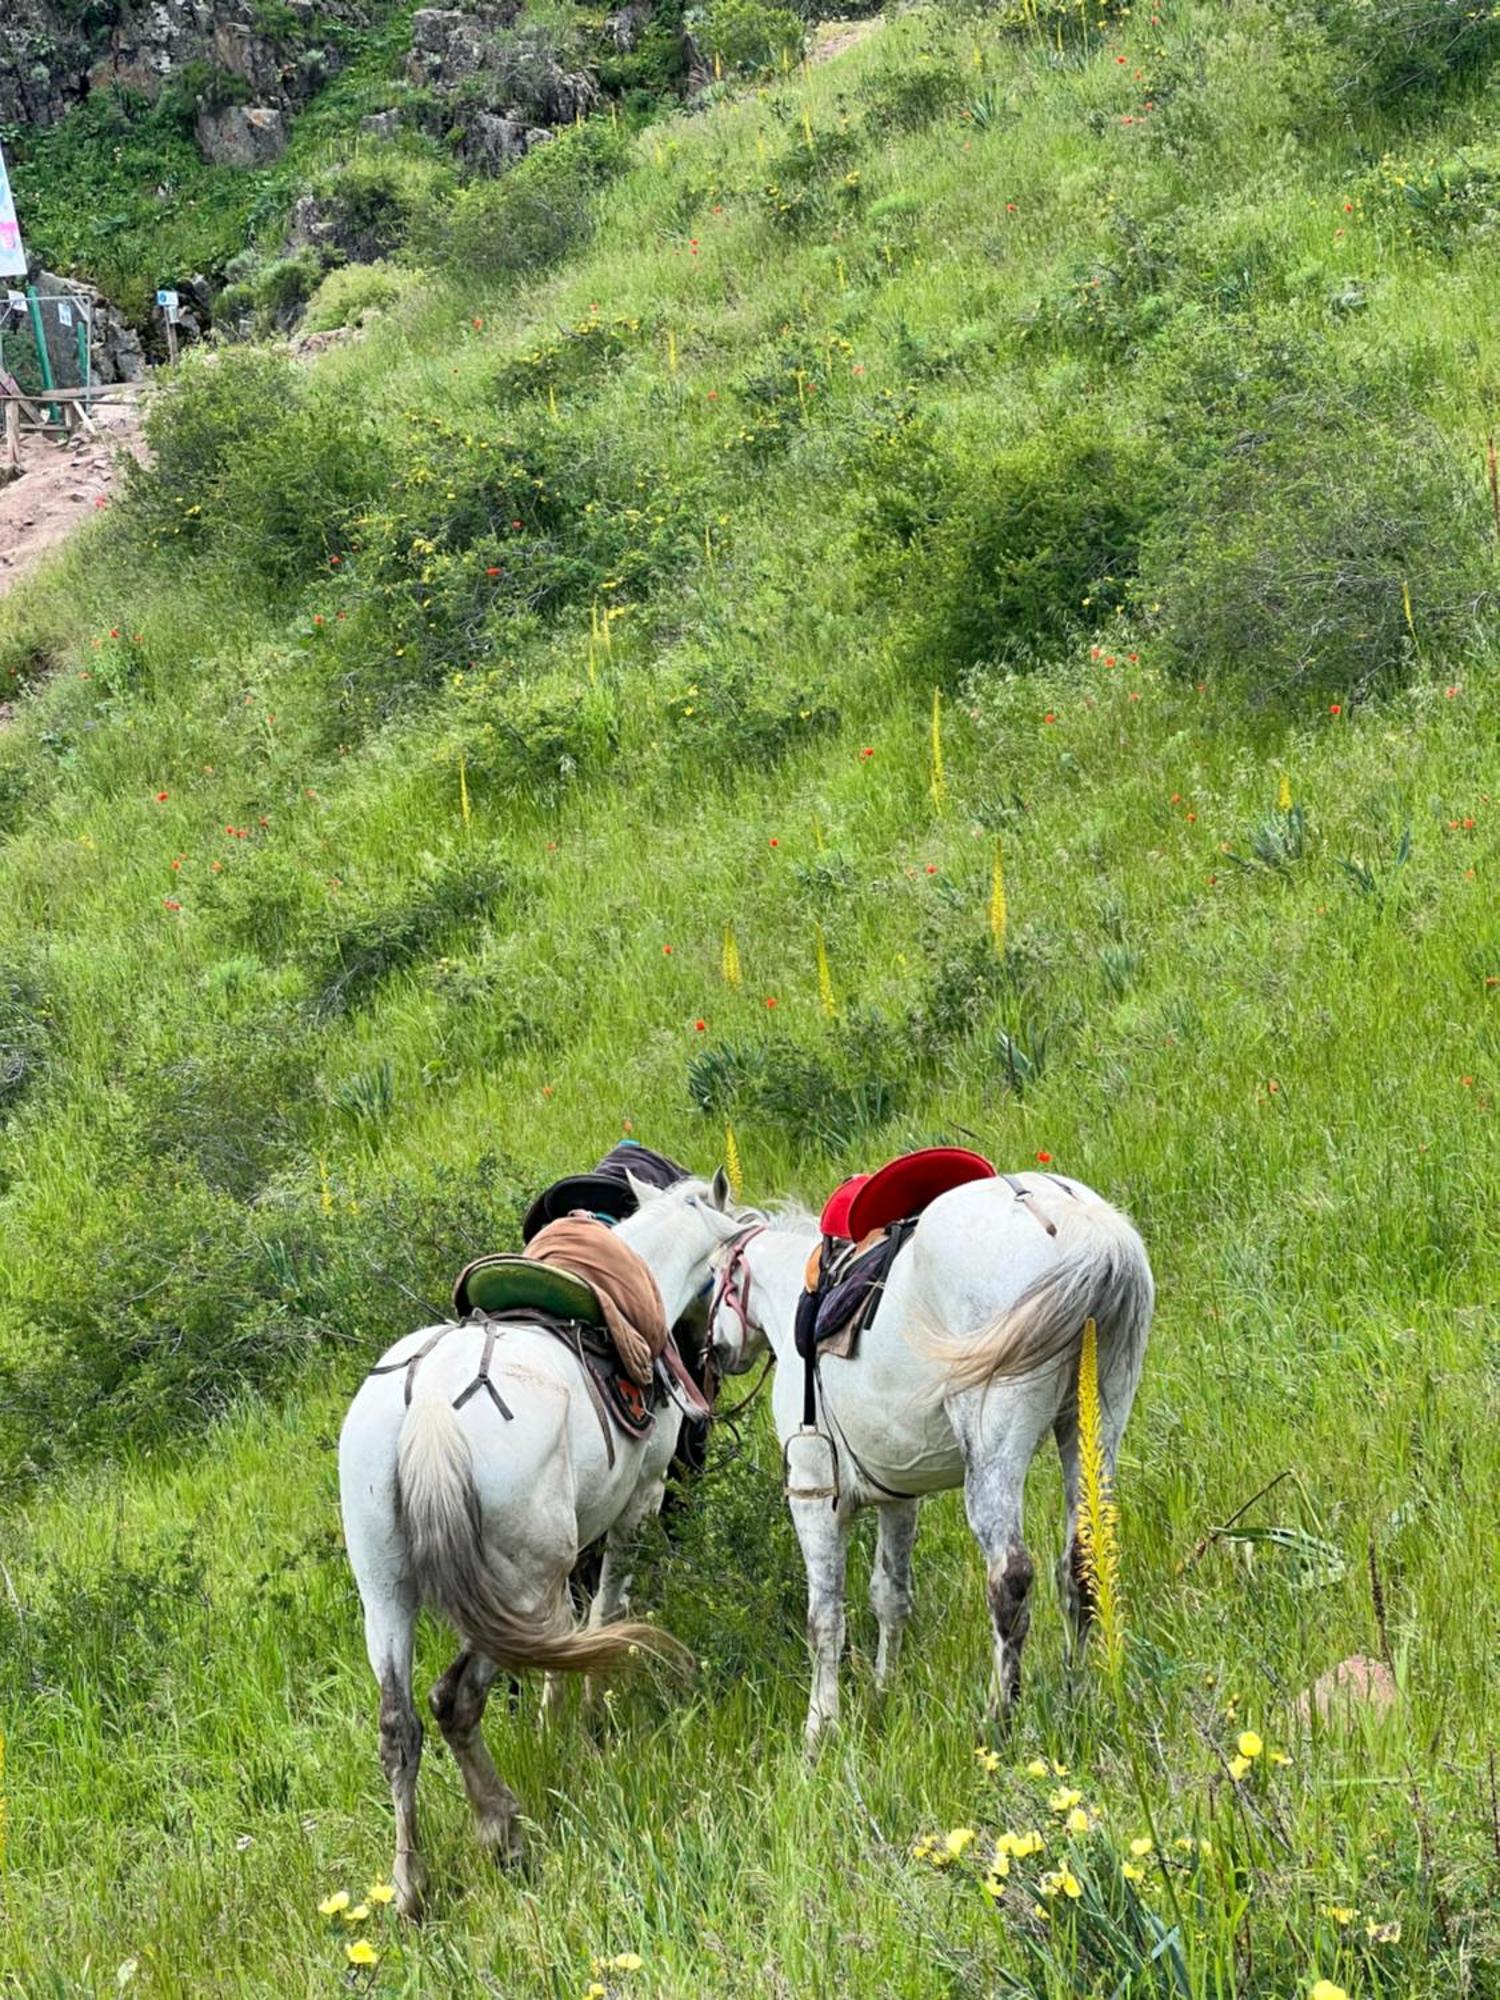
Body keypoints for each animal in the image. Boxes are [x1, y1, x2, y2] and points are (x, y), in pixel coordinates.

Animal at [338, 1168, 744, 1920]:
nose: (716, 1359)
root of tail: (430, 1405)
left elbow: (570, 1630)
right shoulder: (634, 1509)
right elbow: (600, 1615)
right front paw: (582, 1717)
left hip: (384, 1589)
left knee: (399, 1724)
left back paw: (412, 1887)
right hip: (511, 1584)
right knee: (456, 1700)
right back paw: (504, 1836)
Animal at [712, 1168, 1160, 1752]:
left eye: (713, 1277)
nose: (717, 1351)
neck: (798, 1301)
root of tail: (1083, 1228)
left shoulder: (813, 1495)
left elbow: (825, 1617)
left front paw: (820, 1728)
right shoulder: (897, 1497)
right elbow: (889, 1595)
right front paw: (883, 1693)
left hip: (995, 1447)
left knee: (1010, 1577)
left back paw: (998, 1718)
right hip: (1095, 1425)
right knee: (1082, 1561)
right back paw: (1075, 1691)